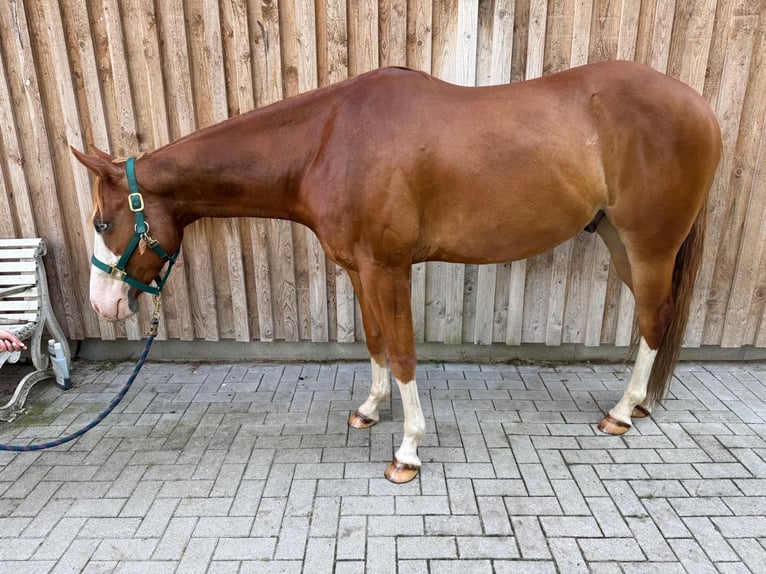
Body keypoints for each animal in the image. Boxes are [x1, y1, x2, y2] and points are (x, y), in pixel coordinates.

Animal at [73, 60, 722, 483]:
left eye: (103, 223)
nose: (103, 305)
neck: (327, 142)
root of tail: (703, 110)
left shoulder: (389, 268)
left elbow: (406, 352)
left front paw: (407, 451)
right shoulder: (361, 269)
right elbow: (377, 341)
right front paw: (369, 410)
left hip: (647, 244)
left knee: (653, 320)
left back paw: (621, 413)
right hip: (617, 238)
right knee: (655, 318)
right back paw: (638, 405)